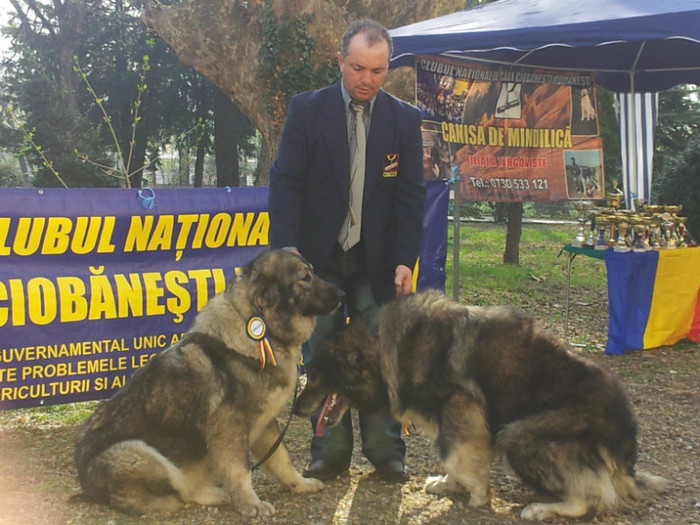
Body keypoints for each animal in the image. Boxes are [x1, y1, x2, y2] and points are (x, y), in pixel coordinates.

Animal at [75, 250, 344, 516]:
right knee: (173, 492)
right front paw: (251, 504)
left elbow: (281, 459)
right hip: (140, 452)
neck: (263, 331)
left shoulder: (266, 423)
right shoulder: (231, 428)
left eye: (313, 272)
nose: (342, 294)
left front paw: (299, 484)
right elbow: (240, 471)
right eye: (305, 278)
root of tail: (85, 483)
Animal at [294, 288, 668, 520]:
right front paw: (450, 484)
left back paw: (542, 508)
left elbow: (454, 454)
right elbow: (453, 453)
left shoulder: (462, 407)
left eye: (316, 375)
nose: (296, 409)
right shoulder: (450, 418)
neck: (383, 347)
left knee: (594, 496)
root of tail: (627, 446)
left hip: (520, 435)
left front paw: (476, 491)